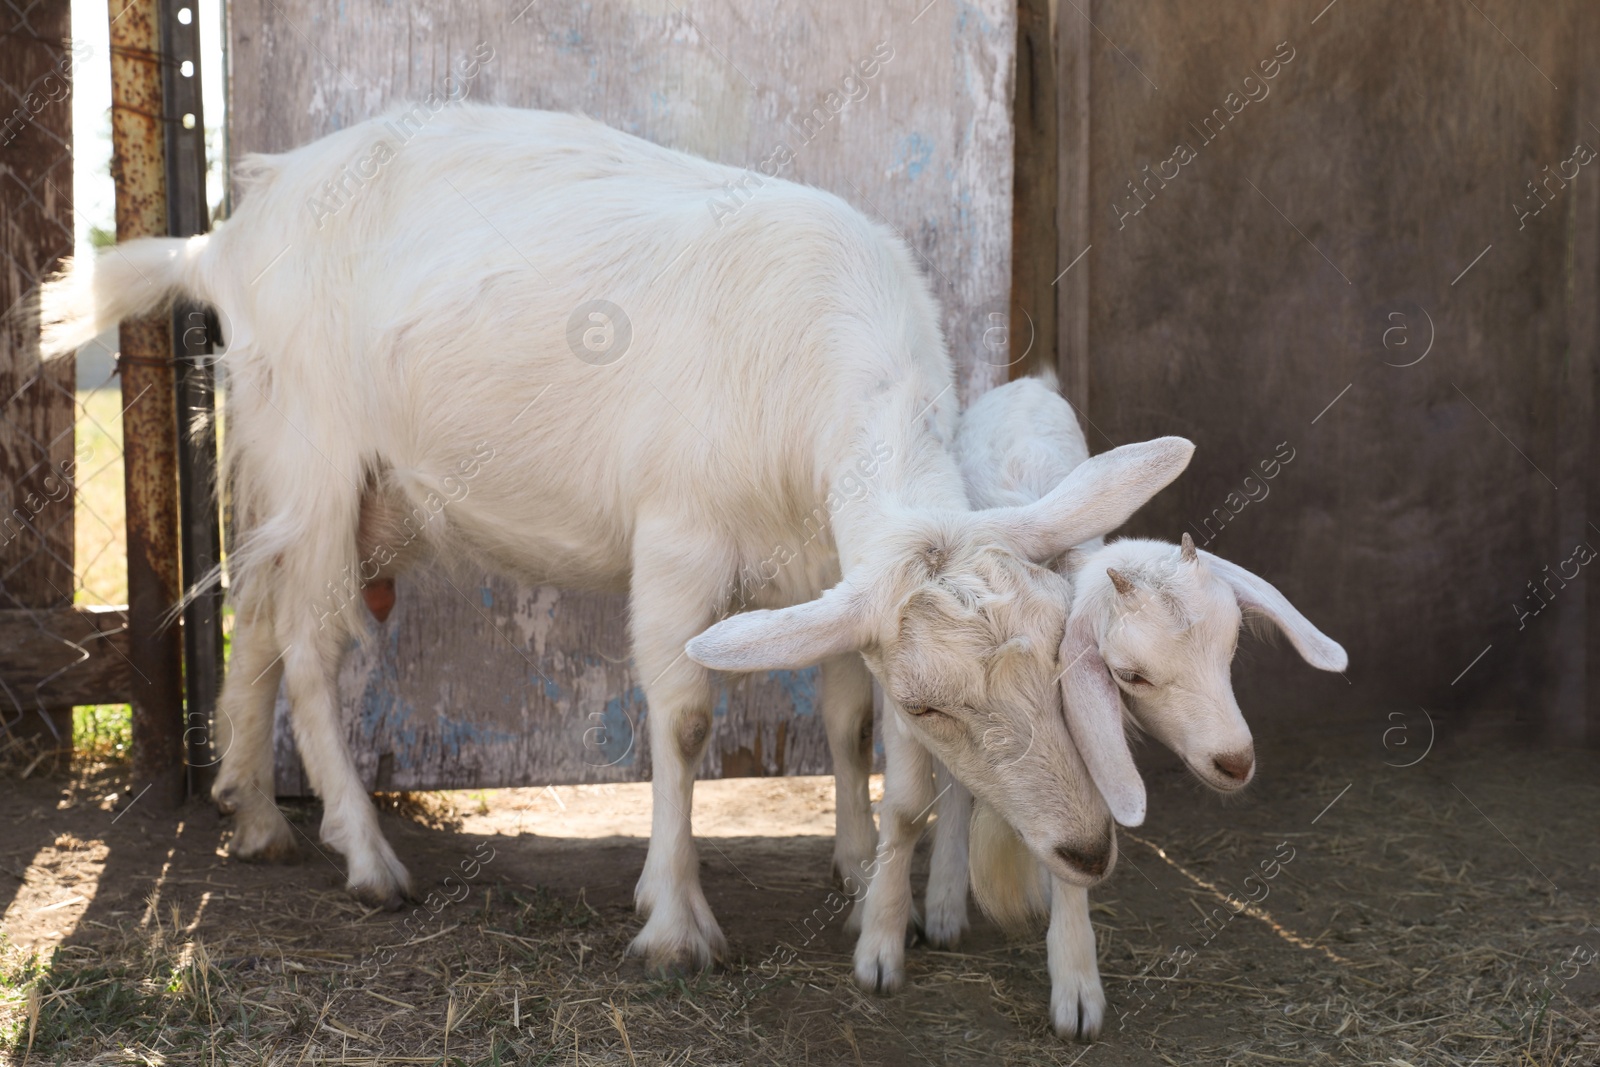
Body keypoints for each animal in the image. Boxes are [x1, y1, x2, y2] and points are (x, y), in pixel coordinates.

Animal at [37, 108, 1196, 979]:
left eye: (1058, 664)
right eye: (935, 704)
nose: (1086, 847)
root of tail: (224, 238)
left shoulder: (827, 561)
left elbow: (844, 716)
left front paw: (859, 864)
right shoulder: (678, 538)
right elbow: (683, 721)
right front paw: (675, 922)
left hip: (308, 468)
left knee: (261, 614)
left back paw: (252, 812)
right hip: (316, 451)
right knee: (313, 648)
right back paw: (365, 856)